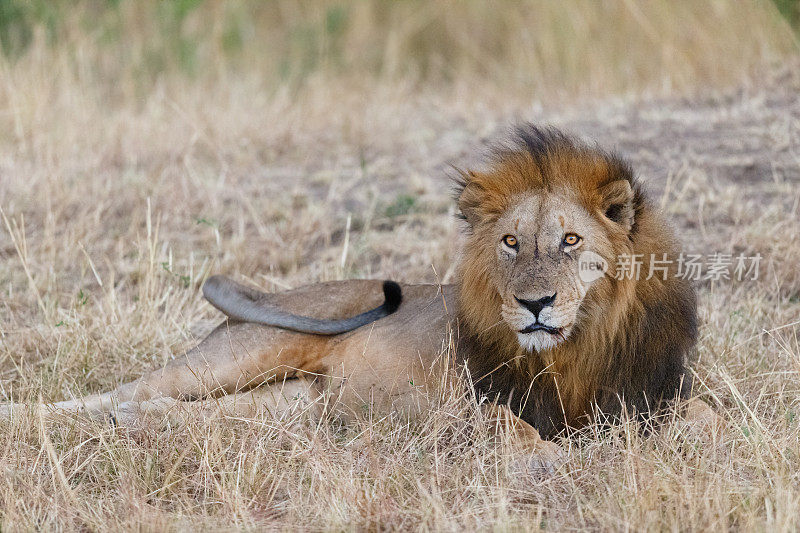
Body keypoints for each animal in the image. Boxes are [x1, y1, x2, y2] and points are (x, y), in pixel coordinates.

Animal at [0, 123, 720, 462]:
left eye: (570, 240)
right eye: (512, 243)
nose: (535, 304)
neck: (573, 350)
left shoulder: (651, 391)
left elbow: (705, 416)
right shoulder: (454, 406)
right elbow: (505, 426)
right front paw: (542, 458)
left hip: (290, 409)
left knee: (168, 411)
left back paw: (140, 426)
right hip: (245, 353)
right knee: (115, 393)